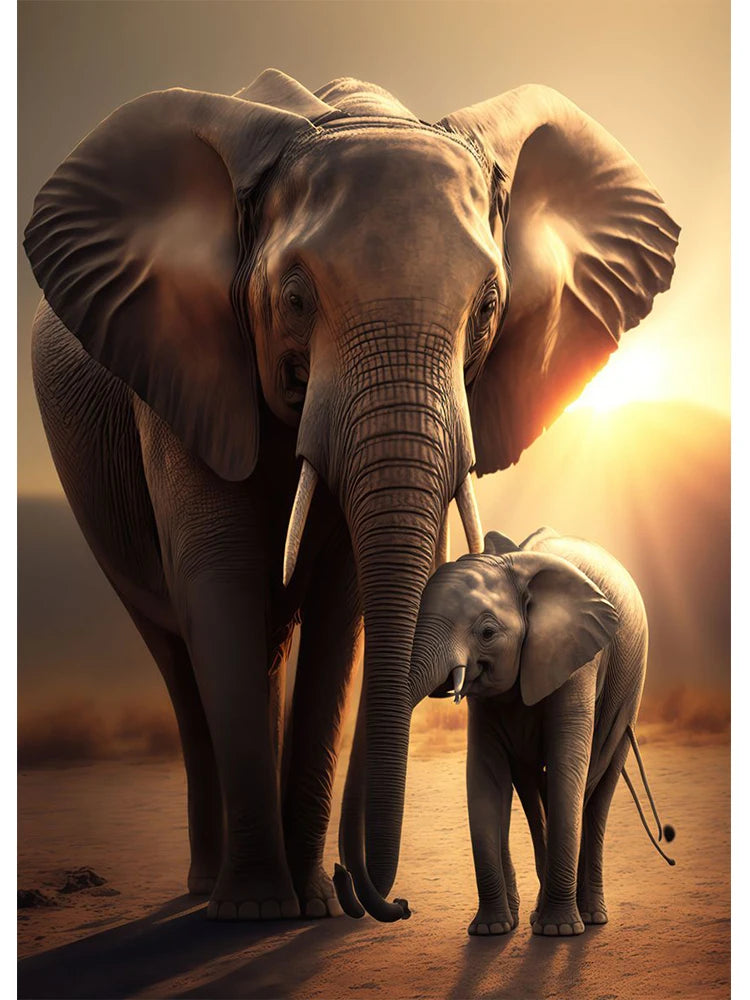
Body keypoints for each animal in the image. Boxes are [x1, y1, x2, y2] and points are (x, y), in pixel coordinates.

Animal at [406, 527, 675, 937]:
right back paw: (539, 911)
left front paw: (559, 932)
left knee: (596, 786)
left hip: (629, 689)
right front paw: (490, 930)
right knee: (535, 789)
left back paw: (589, 917)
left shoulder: (576, 657)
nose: (401, 907)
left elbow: (567, 765)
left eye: (487, 632)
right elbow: (484, 777)